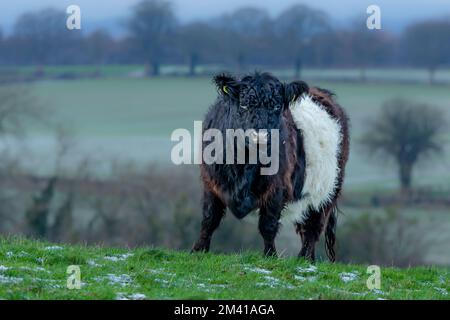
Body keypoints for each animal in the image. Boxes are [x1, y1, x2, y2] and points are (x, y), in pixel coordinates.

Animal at [192, 73, 350, 262]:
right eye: (243, 104)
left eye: (276, 106)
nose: (260, 137)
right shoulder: (211, 183)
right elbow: (209, 219)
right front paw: (198, 250)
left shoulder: (277, 189)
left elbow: (268, 225)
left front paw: (270, 255)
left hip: (327, 192)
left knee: (313, 227)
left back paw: (304, 259)